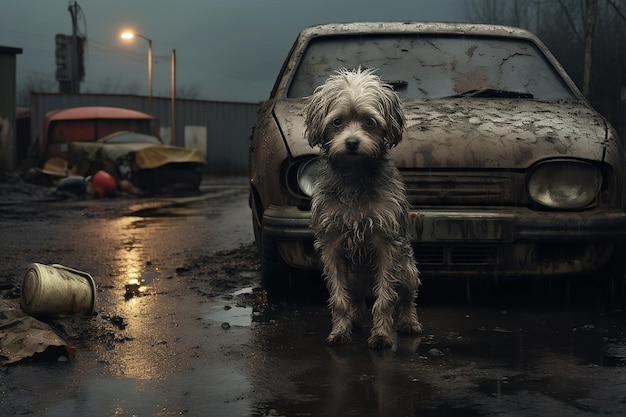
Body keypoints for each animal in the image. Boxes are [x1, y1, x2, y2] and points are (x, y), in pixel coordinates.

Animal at [304, 68, 422, 348]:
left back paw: (408, 323)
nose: (352, 143)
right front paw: (339, 332)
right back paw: (355, 320)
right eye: (337, 122)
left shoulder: (386, 243)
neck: (354, 177)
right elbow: (339, 299)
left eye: (369, 122)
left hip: (408, 269)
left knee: (406, 298)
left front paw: (381, 335)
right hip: (354, 278)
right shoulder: (331, 245)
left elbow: (385, 298)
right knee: (354, 299)